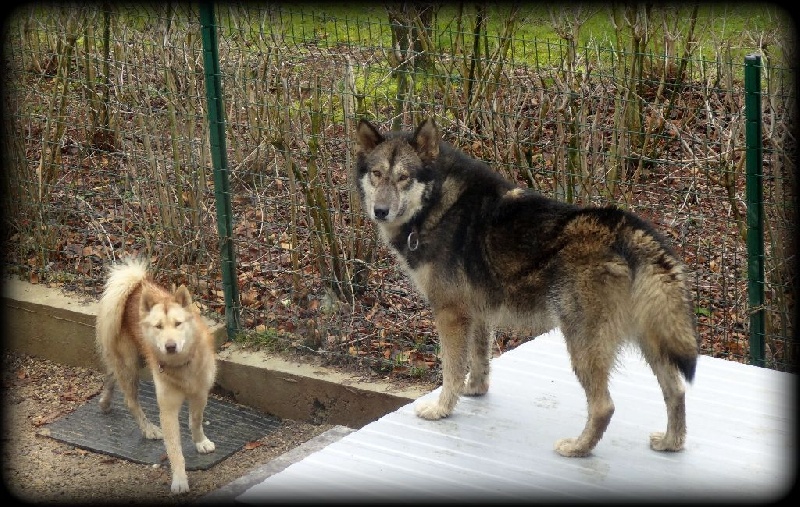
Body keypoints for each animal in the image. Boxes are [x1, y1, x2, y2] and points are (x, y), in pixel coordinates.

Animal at [95, 258, 217, 492]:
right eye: (158, 326)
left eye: (178, 323)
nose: (170, 346)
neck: (181, 366)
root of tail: (135, 287)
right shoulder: (167, 409)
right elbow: (174, 449)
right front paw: (179, 480)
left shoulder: (200, 394)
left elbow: (195, 420)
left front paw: (200, 441)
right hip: (130, 365)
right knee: (130, 401)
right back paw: (148, 429)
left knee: (111, 374)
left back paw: (105, 401)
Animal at [356, 118, 700, 456]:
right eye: (377, 174)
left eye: (403, 178)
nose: (380, 211)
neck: (437, 204)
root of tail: (630, 232)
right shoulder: (478, 314)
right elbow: (479, 363)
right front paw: (475, 391)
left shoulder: (450, 314)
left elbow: (450, 371)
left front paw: (441, 410)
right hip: (650, 344)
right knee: (676, 390)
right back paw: (671, 443)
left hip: (582, 343)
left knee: (605, 406)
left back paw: (577, 448)